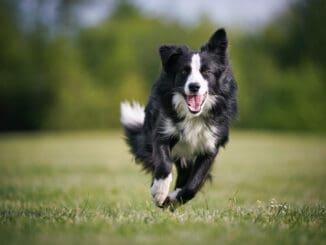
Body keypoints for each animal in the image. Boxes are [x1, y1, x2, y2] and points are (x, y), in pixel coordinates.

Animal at [119, 28, 237, 209]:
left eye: (206, 72)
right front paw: (159, 192)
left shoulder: (210, 146)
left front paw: (174, 198)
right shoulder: (162, 133)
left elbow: (194, 183)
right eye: (184, 71)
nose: (194, 86)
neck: (193, 117)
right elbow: (164, 165)